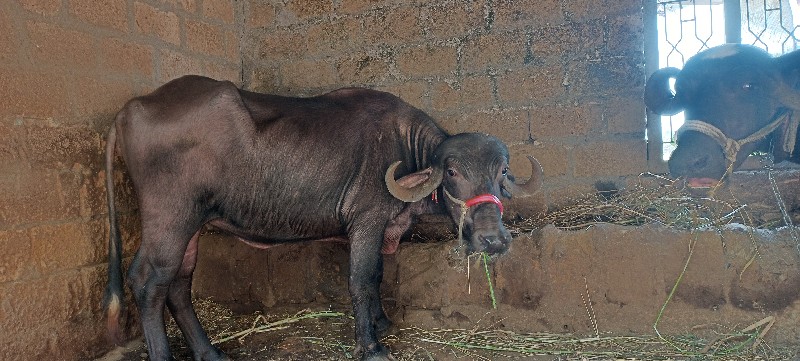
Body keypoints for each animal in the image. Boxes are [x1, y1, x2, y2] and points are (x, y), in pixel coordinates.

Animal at [97, 74, 540, 358]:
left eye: (502, 171)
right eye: (451, 172)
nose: (493, 240)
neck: (402, 147)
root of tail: (133, 107)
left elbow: (376, 276)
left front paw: (381, 323)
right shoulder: (367, 221)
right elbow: (360, 280)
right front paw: (371, 346)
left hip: (191, 226)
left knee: (177, 285)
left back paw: (210, 353)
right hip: (169, 221)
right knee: (149, 281)